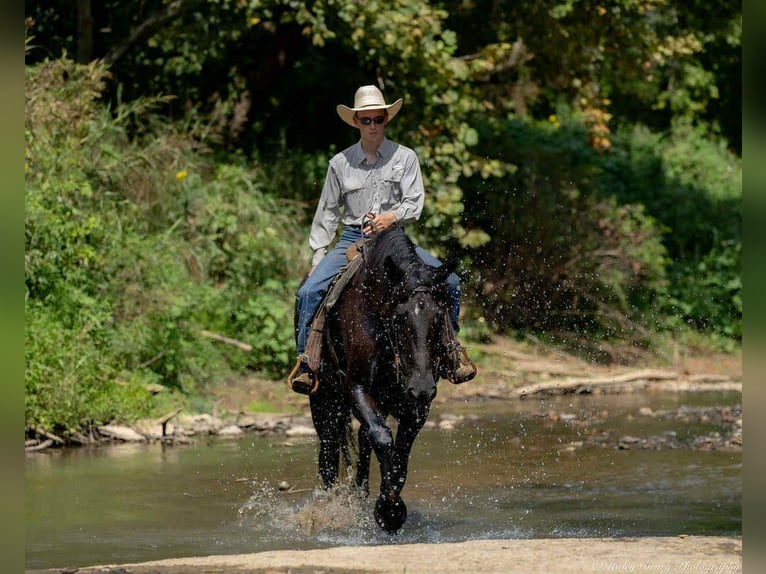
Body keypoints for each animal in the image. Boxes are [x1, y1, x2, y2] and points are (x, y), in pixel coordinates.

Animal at [308, 226, 454, 532]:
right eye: (399, 317)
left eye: (439, 316)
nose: (421, 387)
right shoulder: (357, 388)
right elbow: (383, 437)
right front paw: (389, 511)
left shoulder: (416, 406)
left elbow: (401, 451)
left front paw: (389, 506)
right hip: (323, 399)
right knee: (328, 448)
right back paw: (326, 506)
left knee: (363, 439)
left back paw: (359, 493)